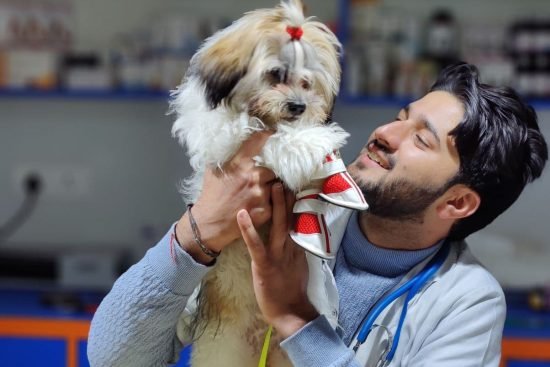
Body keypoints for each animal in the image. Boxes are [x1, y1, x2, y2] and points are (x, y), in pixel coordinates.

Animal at [170, 1, 358, 366]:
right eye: (275, 74)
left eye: (307, 82)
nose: (298, 106)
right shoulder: (219, 136)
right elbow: (250, 132)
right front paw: (309, 143)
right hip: (224, 348)